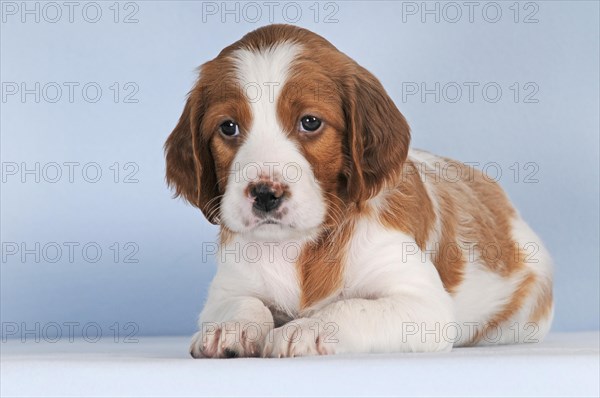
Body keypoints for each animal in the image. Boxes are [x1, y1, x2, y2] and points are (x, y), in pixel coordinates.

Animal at [164, 24, 552, 360]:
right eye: (228, 127)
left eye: (310, 122)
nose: (264, 194)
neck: (298, 246)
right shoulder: (228, 285)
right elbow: (243, 302)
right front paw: (228, 328)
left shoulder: (423, 305)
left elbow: (349, 307)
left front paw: (305, 329)